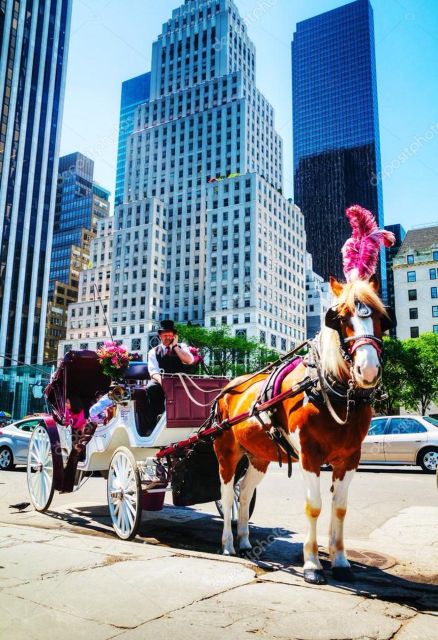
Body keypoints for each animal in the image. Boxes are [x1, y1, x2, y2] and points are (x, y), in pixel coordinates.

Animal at [213, 276, 394, 584]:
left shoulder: (350, 458)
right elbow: (315, 506)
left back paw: (245, 541)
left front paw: (341, 561)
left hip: (258, 457)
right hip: (227, 453)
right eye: (340, 318)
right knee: (227, 496)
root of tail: (227, 387)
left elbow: (340, 508)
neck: (328, 388)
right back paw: (227, 544)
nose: (368, 370)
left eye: (382, 318)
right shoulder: (310, 455)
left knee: (245, 494)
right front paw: (312, 564)